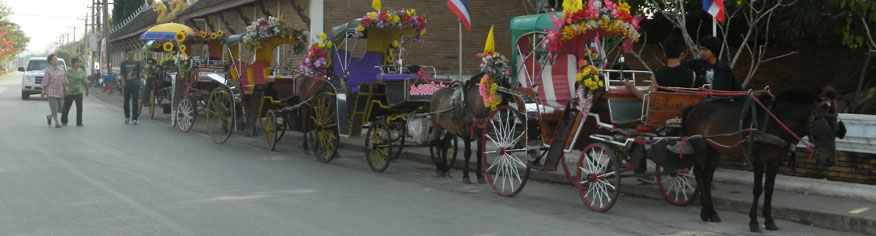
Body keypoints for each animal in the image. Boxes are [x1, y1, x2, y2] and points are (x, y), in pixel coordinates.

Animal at [680, 88, 844, 232]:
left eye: (837, 130)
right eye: (822, 129)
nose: (830, 160)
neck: (776, 121)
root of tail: (694, 106)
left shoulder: (776, 160)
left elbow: (769, 189)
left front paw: (769, 220)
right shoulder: (758, 158)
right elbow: (757, 189)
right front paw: (753, 222)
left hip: (714, 149)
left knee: (707, 177)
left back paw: (712, 212)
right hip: (700, 144)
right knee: (699, 172)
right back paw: (705, 211)